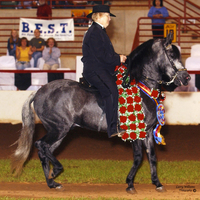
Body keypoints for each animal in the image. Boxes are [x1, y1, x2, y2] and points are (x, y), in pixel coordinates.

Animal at [11, 33, 191, 195]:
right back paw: (55, 172)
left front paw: (157, 184)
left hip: (61, 132)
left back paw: (52, 182)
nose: (187, 78)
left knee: (45, 149)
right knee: (41, 145)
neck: (142, 87)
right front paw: (130, 184)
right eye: (172, 55)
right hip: (58, 128)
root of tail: (39, 92)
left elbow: (152, 157)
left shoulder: (146, 132)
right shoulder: (135, 132)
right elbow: (138, 157)